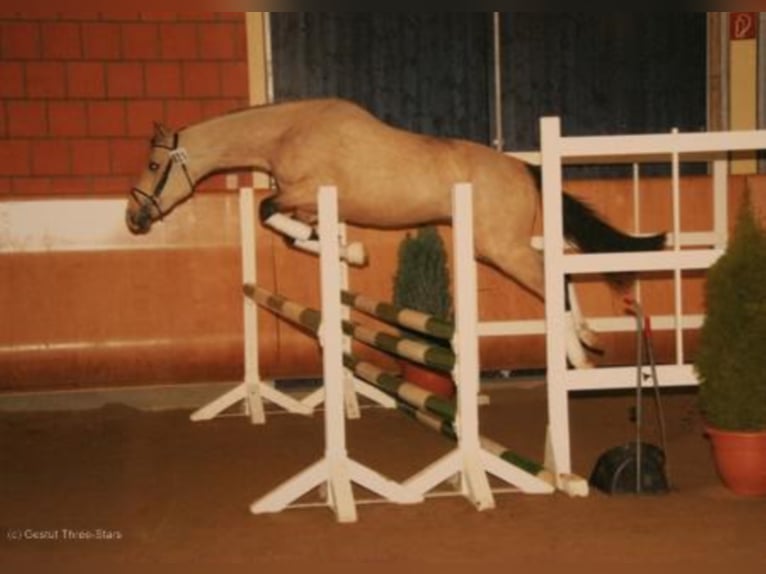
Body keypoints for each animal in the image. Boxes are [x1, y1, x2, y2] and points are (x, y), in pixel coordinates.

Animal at [126, 98, 665, 367]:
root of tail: (523, 167)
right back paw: (588, 338)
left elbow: (267, 212)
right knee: (558, 269)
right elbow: (294, 233)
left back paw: (577, 352)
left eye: (153, 164)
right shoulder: (310, 203)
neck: (289, 131)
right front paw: (347, 251)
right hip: (501, 245)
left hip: (501, 249)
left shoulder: (305, 191)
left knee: (556, 280)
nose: (134, 218)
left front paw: (352, 250)